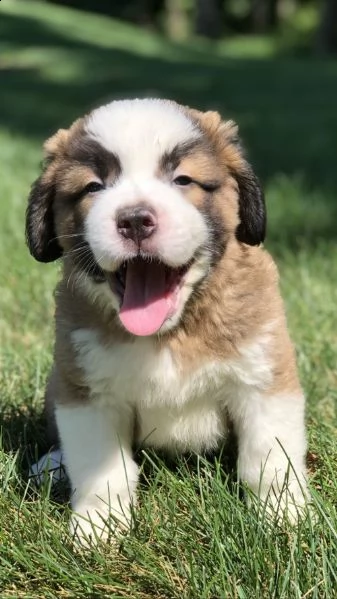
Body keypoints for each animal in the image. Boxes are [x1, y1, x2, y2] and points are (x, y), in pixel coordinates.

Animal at [25, 97, 310, 544]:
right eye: (93, 187)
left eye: (183, 180)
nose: (134, 219)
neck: (172, 330)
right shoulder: (88, 393)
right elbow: (101, 468)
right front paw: (98, 527)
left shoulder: (262, 377)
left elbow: (268, 456)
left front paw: (283, 517)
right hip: (58, 384)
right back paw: (51, 466)